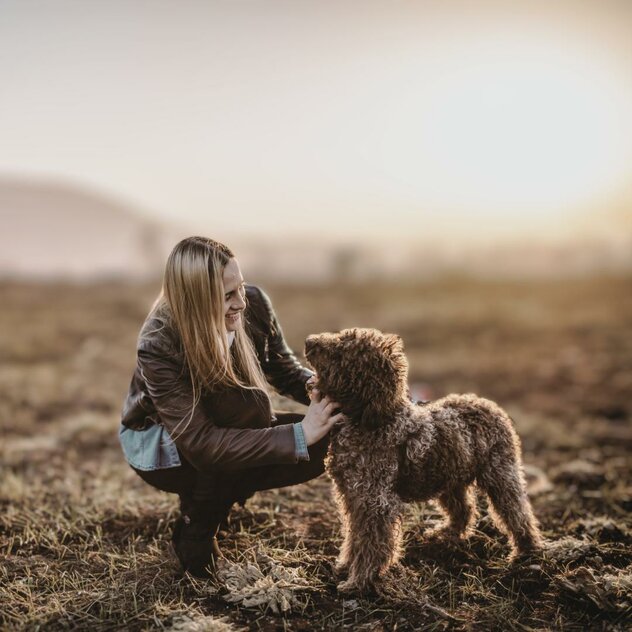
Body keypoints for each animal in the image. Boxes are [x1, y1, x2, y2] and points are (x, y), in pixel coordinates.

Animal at [304, 328, 540, 596]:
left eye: (342, 351)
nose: (308, 341)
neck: (371, 420)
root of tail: (487, 404)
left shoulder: (375, 503)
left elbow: (371, 543)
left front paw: (359, 581)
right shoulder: (353, 496)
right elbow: (354, 536)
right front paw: (345, 565)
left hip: (500, 475)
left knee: (517, 514)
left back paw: (526, 551)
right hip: (449, 478)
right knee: (464, 511)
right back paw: (444, 534)